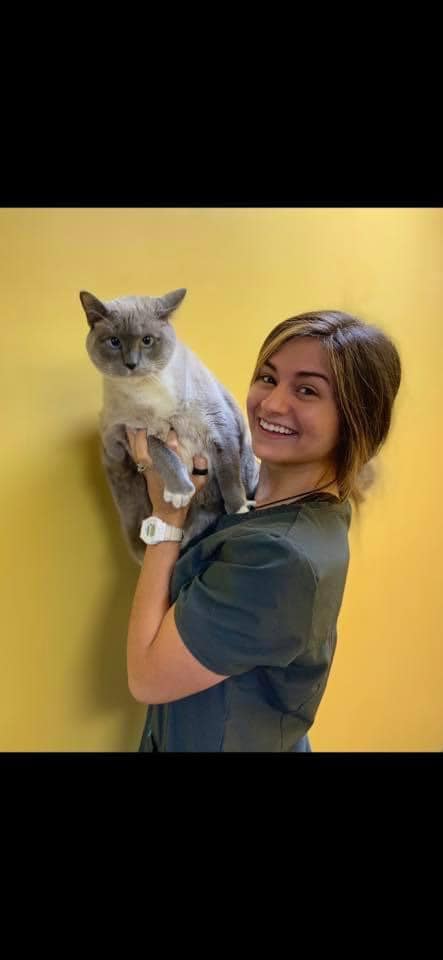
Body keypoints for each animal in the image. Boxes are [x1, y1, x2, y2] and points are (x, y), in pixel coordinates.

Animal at [80, 287, 259, 564]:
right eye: (114, 342)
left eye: (147, 340)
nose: (131, 364)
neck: (148, 389)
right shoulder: (132, 432)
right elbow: (164, 455)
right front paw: (180, 492)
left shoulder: (219, 424)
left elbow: (229, 472)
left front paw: (239, 508)